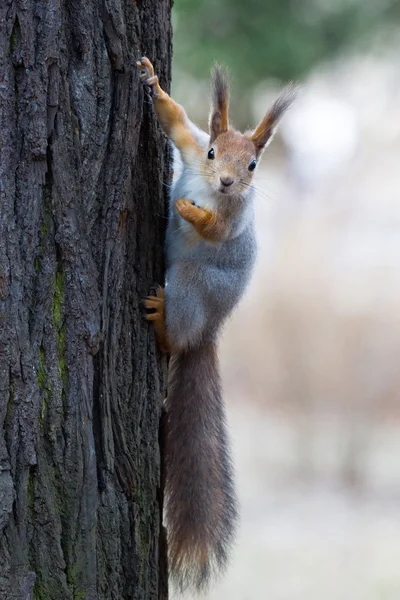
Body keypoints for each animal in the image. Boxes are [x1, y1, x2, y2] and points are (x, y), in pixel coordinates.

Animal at [138, 58, 296, 592]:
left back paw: (166, 327)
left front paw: (190, 212)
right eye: (212, 152)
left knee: (179, 331)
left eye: (252, 166)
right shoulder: (187, 147)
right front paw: (151, 80)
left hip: (191, 282)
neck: (209, 187)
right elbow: (176, 121)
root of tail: (210, 329)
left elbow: (215, 228)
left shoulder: (232, 219)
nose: (226, 184)